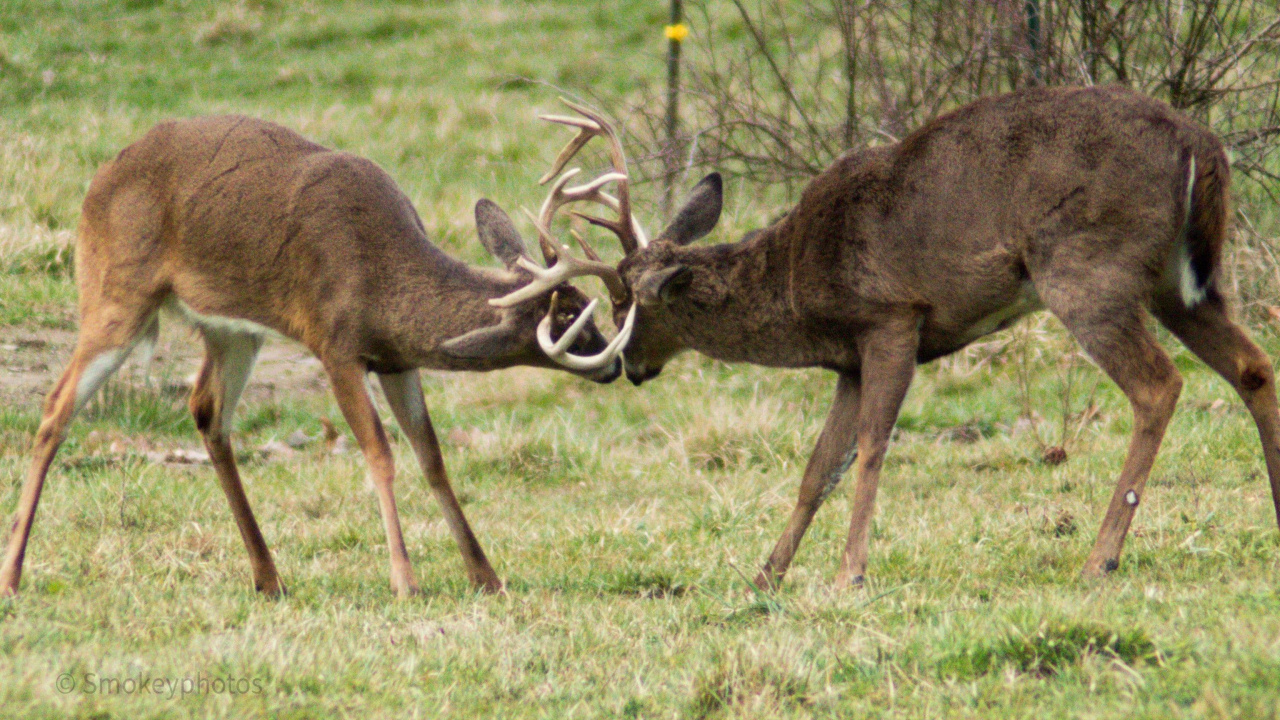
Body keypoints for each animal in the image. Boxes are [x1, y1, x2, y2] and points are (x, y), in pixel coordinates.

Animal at [0, 114, 638, 598]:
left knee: (207, 410)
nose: (615, 364)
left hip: (233, 330)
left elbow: (431, 456)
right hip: (115, 291)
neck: (383, 276)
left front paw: (486, 576)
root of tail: (100, 177)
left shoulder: (397, 359)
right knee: (56, 408)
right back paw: (12, 576)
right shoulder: (334, 342)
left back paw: (268, 577)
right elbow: (379, 452)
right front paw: (405, 581)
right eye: (567, 319)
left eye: (583, 305)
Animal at [538, 87, 1280, 589]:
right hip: (1181, 282)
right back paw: (1272, 510)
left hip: (1085, 268)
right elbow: (818, 468)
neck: (799, 283)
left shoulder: (891, 317)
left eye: (625, 302)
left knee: (1159, 384)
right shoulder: (848, 360)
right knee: (1253, 365)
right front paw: (766, 575)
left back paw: (1100, 558)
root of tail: (1203, 146)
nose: (628, 367)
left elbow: (870, 449)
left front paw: (849, 573)